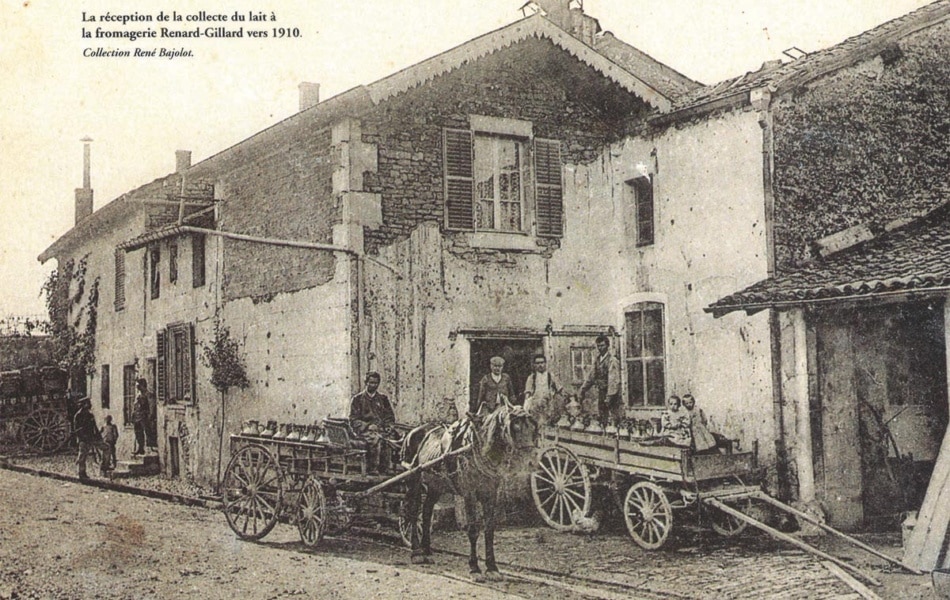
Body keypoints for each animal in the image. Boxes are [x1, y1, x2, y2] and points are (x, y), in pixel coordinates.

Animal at [400, 400, 540, 580]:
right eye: (515, 427)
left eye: (533, 427)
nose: (531, 462)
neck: (479, 449)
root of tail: (412, 431)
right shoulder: (469, 494)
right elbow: (473, 529)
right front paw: (474, 567)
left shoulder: (491, 494)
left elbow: (489, 529)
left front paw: (492, 567)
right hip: (414, 480)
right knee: (412, 511)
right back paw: (416, 552)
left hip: (435, 485)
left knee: (426, 512)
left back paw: (427, 550)